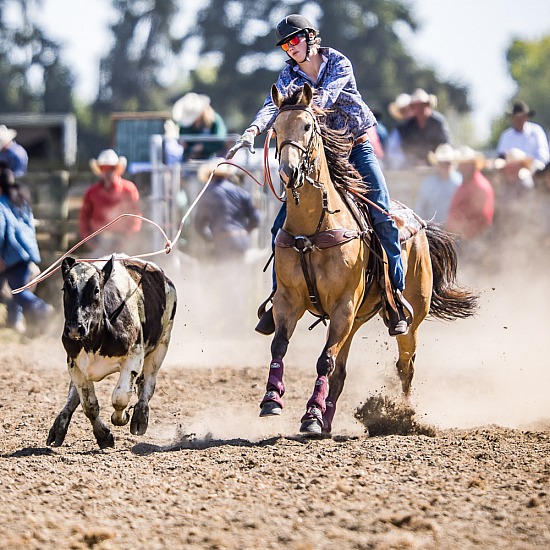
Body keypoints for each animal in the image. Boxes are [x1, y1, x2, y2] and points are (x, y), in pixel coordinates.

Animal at [47, 256, 178, 450]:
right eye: (66, 288)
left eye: (96, 289)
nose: (75, 328)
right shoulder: (74, 363)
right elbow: (89, 405)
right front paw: (103, 436)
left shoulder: (134, 356)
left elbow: (120, 397)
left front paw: (122, 418)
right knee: (74, 393)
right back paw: (58, 428)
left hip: (162, 343)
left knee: (148, 382)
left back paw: (140, 416)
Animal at [260, 83, 480, 436]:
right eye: (275, 129)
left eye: (307, 126)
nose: (288, 171)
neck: (313, 229)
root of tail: (419, 223)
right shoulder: (287, 300)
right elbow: (280, 346)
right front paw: (272, 400)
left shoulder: (343, 306)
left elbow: (323, 360)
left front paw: (310, 418)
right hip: (356, 319)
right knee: (341, 371)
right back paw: (327, 419)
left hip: (409, 318)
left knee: (405, 366)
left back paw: (403, 417)